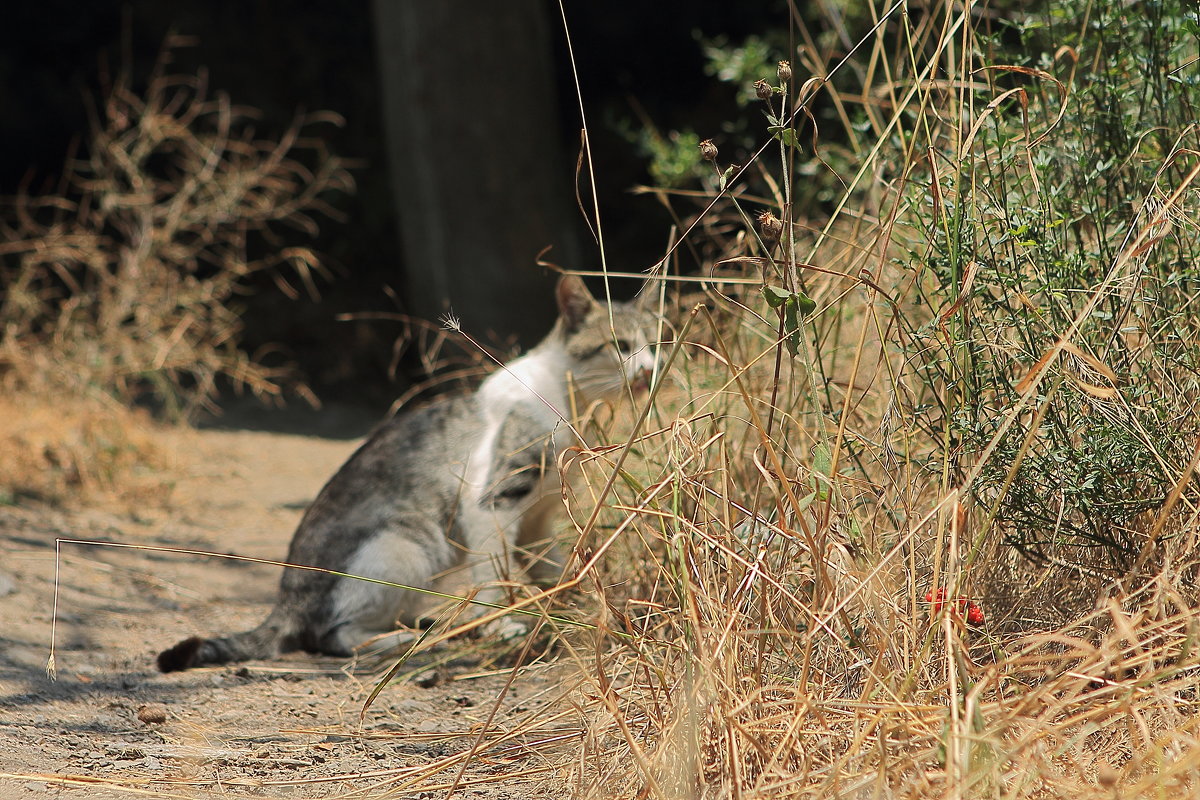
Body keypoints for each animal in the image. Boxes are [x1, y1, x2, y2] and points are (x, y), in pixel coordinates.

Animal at [156, 275, 662, 671]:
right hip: (407, 547)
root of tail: (286, 600)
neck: (571, 401)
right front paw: (505, 624)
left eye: (657, 345)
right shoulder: (491, 503)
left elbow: (556, 568)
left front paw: (579, 603)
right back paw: (408, 638)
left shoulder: (536, 519)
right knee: (335, 637)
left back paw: (425, 623)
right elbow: (494, 576)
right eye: (619, 346)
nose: (648, 371)